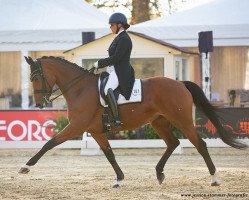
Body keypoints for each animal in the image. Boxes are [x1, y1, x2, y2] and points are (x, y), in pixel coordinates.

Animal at [19, 55, 247, 188]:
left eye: (35, 78)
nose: (39, 104)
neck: (80, 88)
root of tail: (180, 83)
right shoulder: (95, 130)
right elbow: (109, 154)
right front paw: (119, 179)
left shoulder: (76, 126)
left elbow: (49, 143)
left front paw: (25, 167)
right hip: (159, 122)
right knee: (173, 143)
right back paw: (159, 174)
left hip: (181, 121)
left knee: (200, 144)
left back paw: (215, 179)